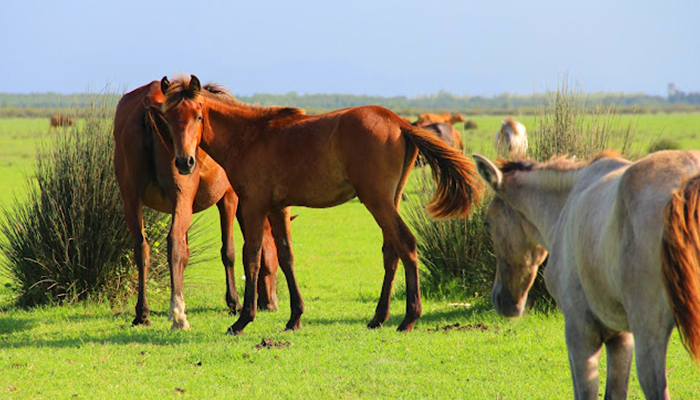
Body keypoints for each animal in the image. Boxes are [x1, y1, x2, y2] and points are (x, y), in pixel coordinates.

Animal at [113, 79, 280, 330]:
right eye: (275, 262)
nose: (271, 304)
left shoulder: (184, 207)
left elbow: (186, 254)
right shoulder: (229, 198)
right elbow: (228, 251)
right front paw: (234, 302)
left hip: (132, 200)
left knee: (142, 248)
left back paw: (143, 313)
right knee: (173, 243)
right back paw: (179, 316)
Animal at [159, 75, 484, 334]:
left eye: (198, 117)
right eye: (168, 119)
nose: (185, 162)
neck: (250, 137)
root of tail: (400, 123)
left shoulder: (252, 206)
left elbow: (251, 257)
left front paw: (242, 320)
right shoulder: (278, 208)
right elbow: (286, 256)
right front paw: (294, 318)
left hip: (376, 200)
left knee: (405, 243)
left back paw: (408, 319)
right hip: (389, 200)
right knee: (391, 251)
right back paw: (379, 317)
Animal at [474, 152, 700, 398]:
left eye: (487, 223)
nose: (500, 300)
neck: (567, 202)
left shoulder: (580, 332)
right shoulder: (620, 337)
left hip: (649, 336)